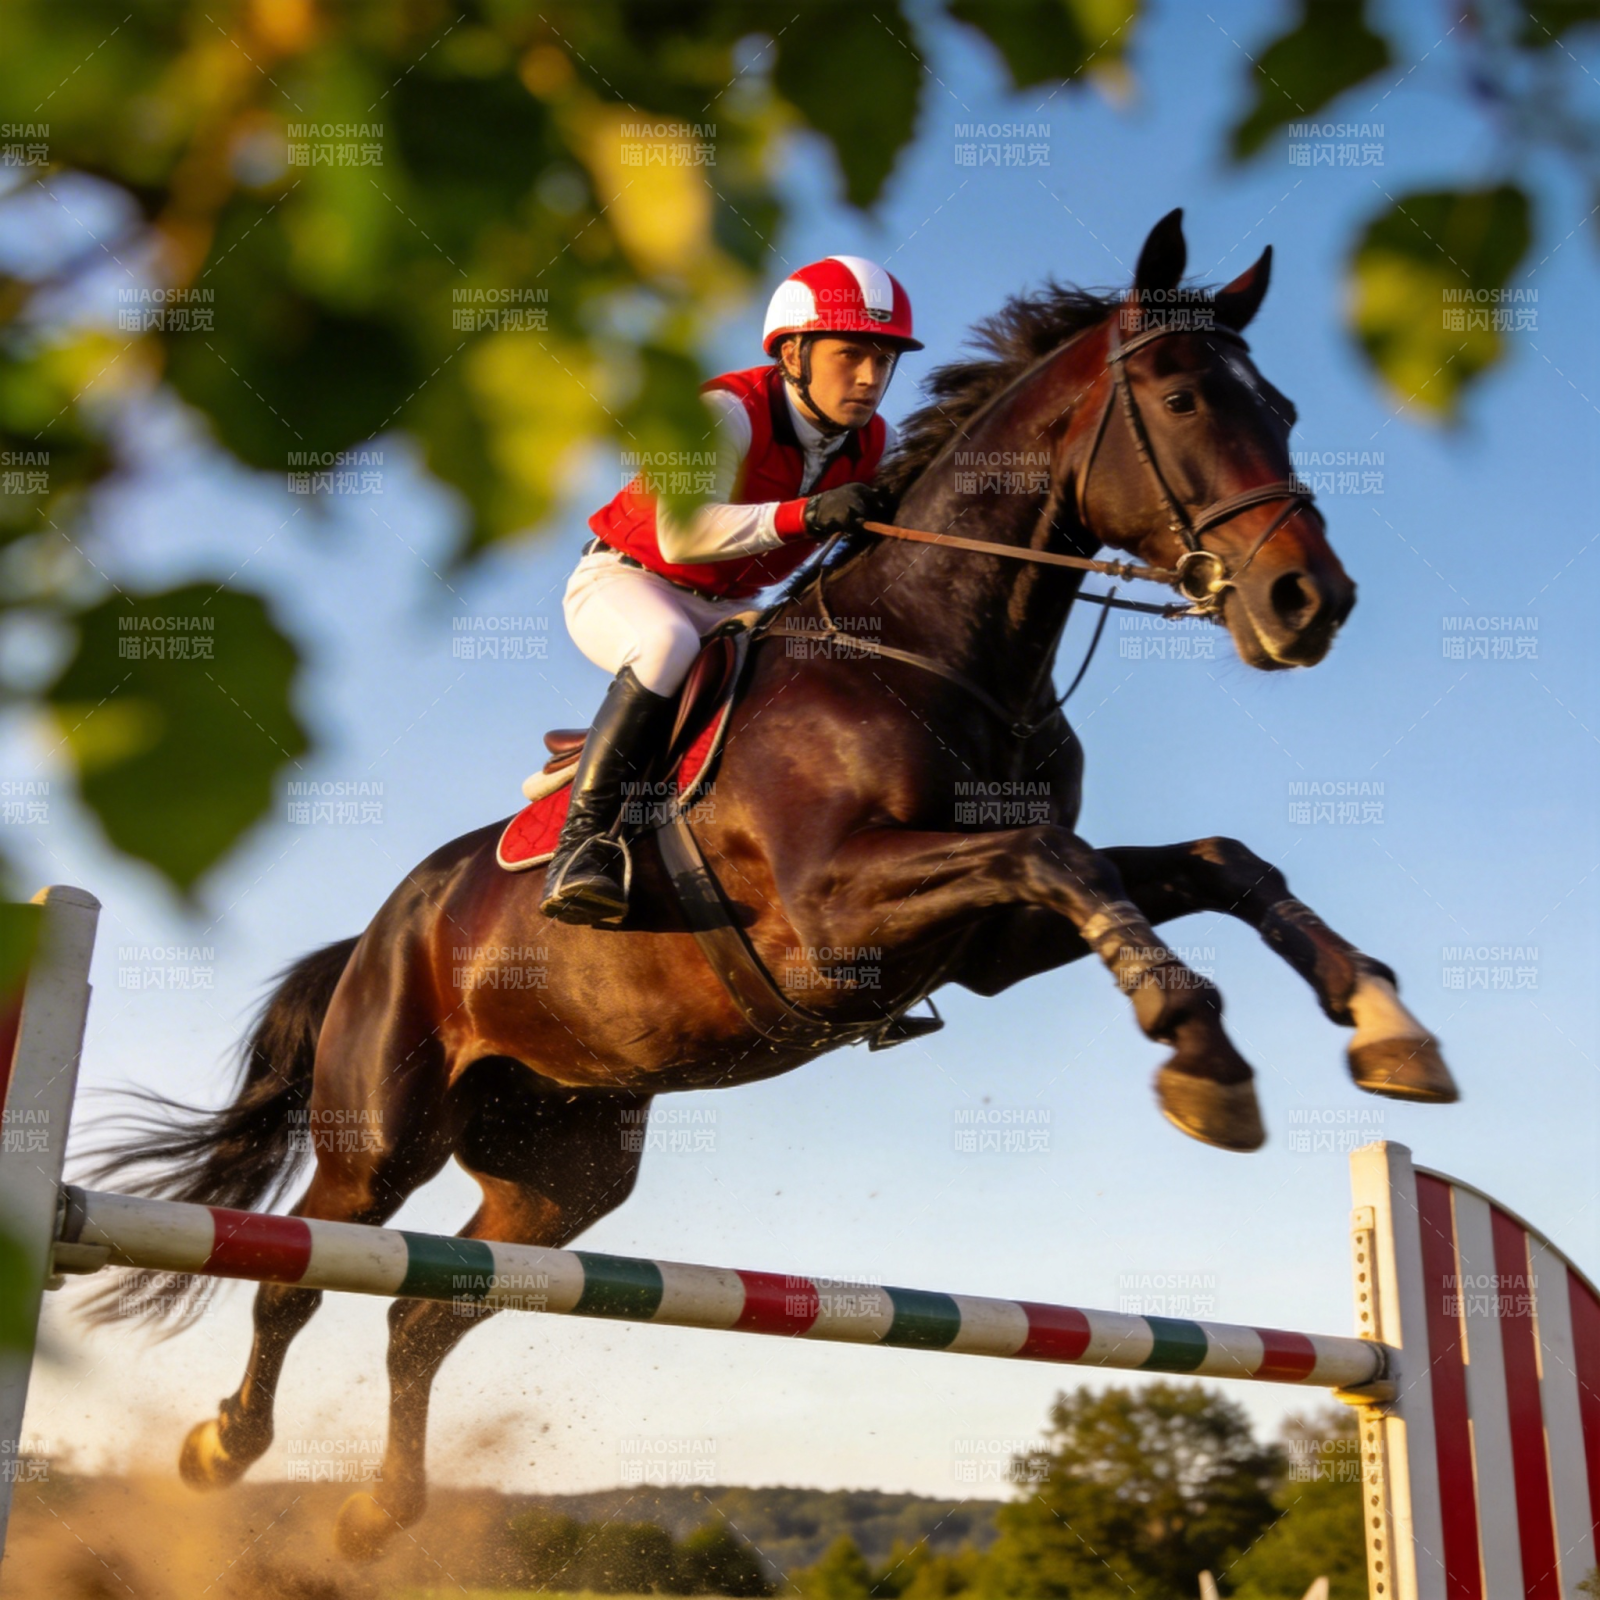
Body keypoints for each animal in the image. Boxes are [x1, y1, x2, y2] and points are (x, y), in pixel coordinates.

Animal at [88, 211, 1455, 1560]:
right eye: (1178, 396)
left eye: (1280, 406)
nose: (1308, 602)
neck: (944, 654)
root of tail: (382, 928)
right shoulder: (836, 911)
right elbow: (1056, 857)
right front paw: (1202, 1059)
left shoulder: (987, 945)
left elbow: (1218, 864)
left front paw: (1386, 1028)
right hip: (382, 1131)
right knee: (300, 1271)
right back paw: (224, 1447)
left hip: (559, 1164)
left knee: (425, 1311)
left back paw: (379, 1512)